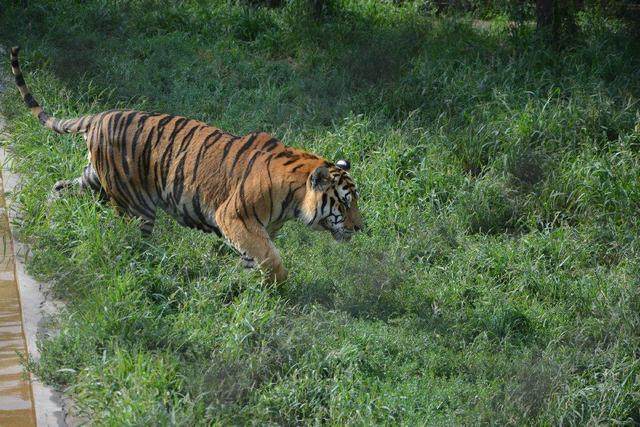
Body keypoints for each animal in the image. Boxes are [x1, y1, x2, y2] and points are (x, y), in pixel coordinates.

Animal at [10, 46, 362, 282]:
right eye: (344, 204)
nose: (360, 228)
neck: (293, 202)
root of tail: (100, 116)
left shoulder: (255, 229)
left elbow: (253, 258)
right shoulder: (235, 217)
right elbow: (269, 258)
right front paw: (278, 288)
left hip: (95, 179)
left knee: (60, 187)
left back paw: (48, 219)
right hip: (136, 205)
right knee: (130, 238)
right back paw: (147, 266)